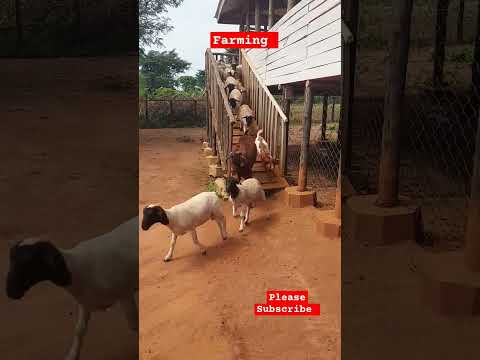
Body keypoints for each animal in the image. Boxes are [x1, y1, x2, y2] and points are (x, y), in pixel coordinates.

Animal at [7, 217, 139, 360]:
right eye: (11, 260)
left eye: (29, 262)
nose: (10, 292)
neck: (76, 271)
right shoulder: (85, 304)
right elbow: (79, 330)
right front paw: (72, 355)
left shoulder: (125, 295)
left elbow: (134, 326)